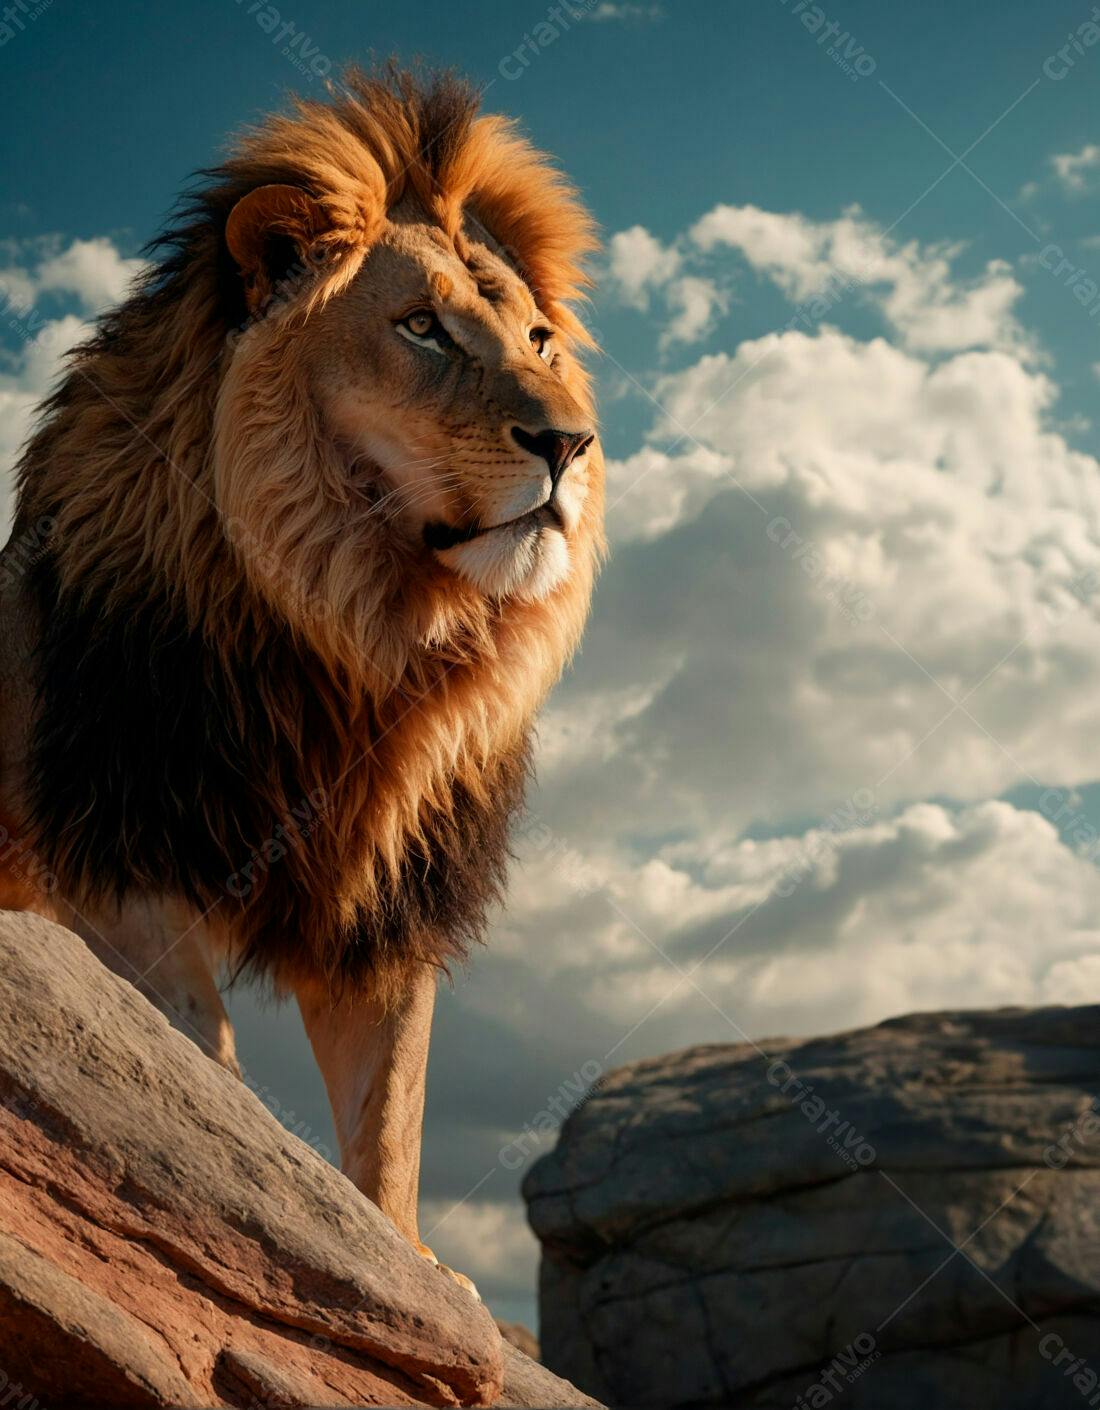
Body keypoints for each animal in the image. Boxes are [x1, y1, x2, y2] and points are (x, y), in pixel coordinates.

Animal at [0, 66, 603, 1300]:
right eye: (421, 328)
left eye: (537, 338)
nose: (568, 444)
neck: (358, 638)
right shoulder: (116, 853)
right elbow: (196, 1057)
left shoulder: (385, 918)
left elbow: (390, 1125)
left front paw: (408, 1269)